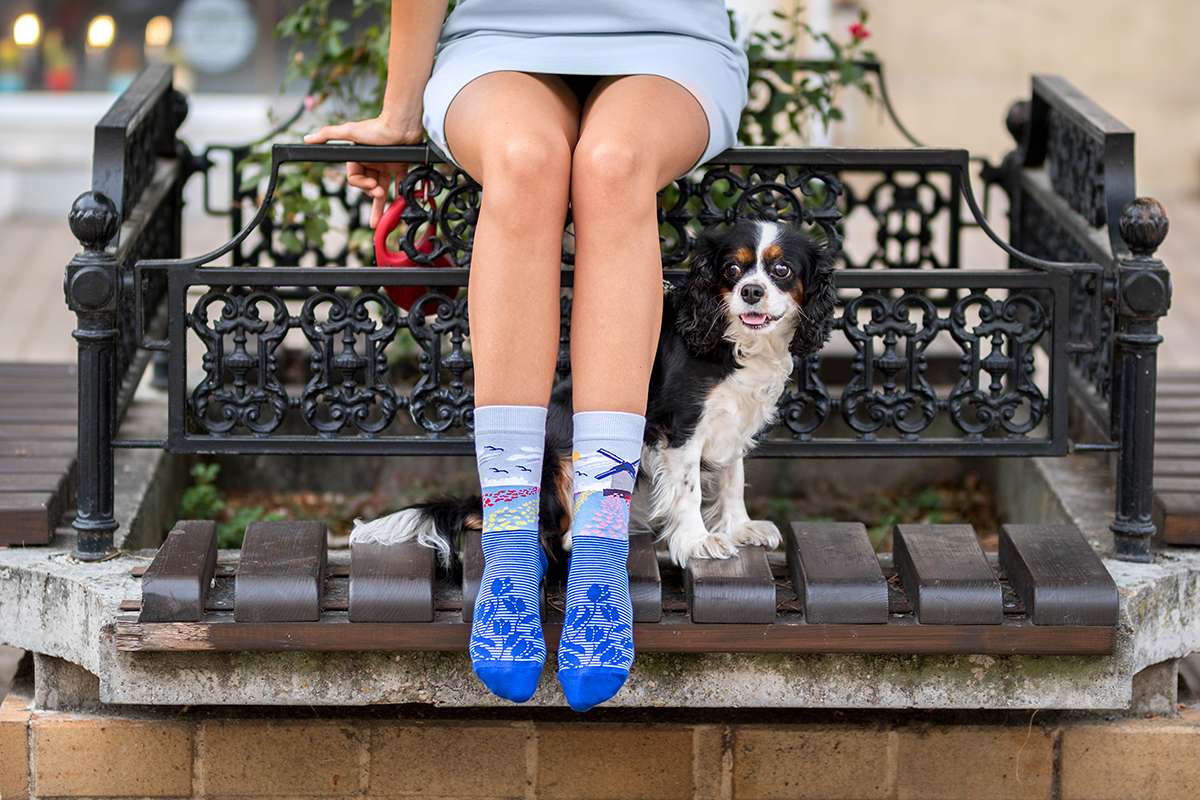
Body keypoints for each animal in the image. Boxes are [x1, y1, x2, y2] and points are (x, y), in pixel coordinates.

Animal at [350, 219, 835, 566]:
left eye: (782, 270)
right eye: (732, 269)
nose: (751, 291)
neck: (734, 340)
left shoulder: (735, 421)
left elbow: (734, 478)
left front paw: (740, 527)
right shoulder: (681, 427)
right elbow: (691, 489)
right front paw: (698, 540)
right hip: (561, 462)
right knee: (558, 533)